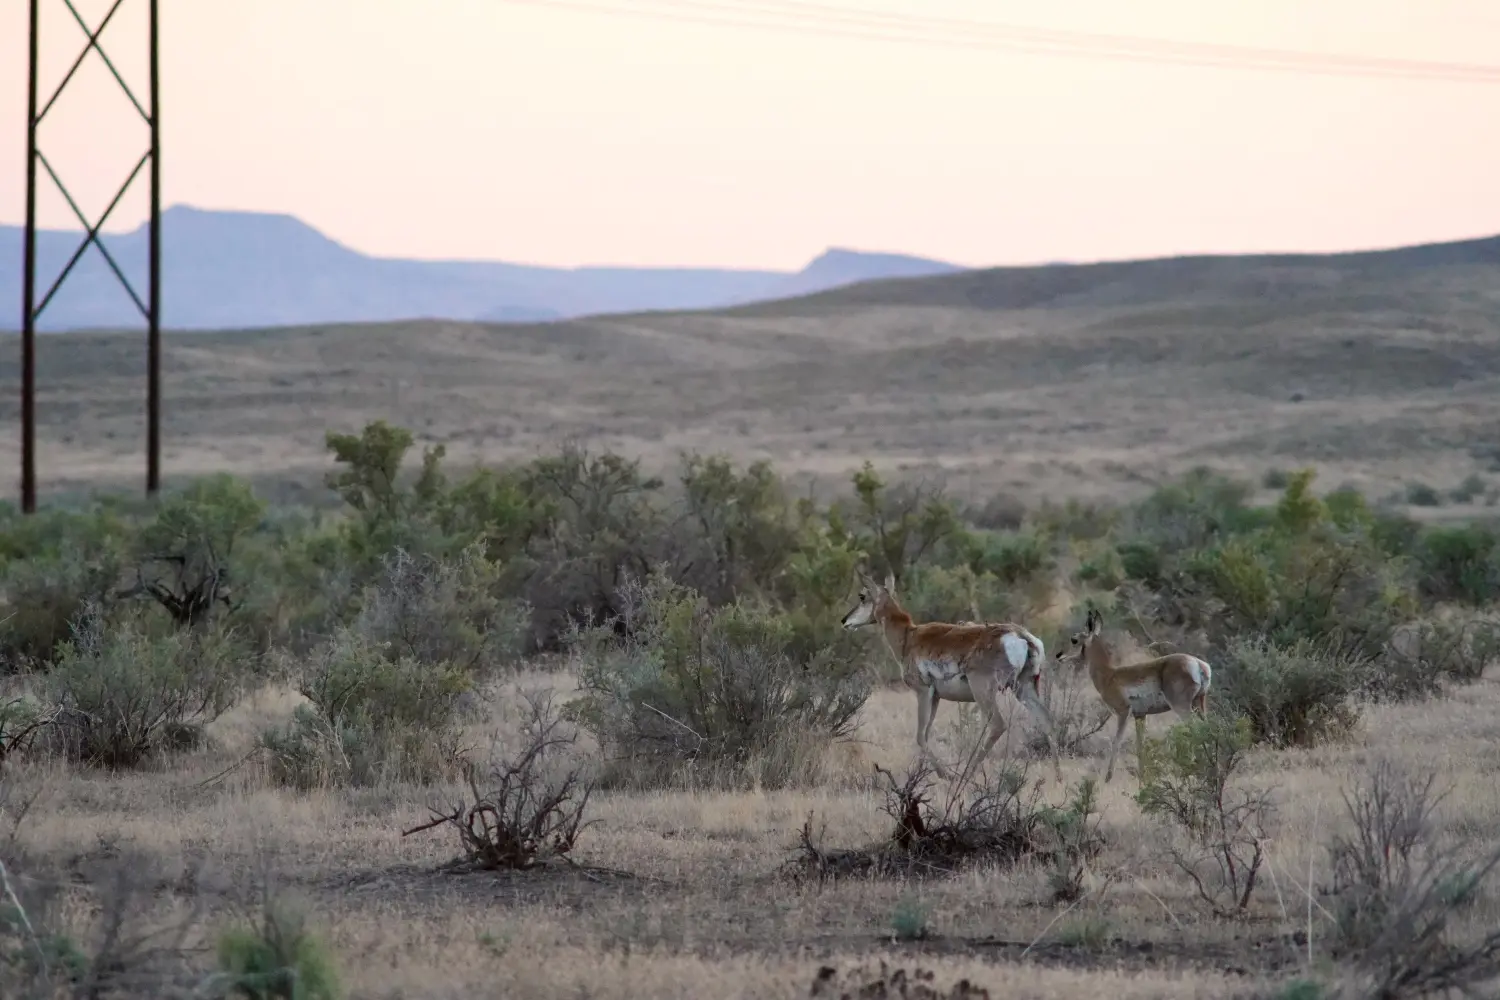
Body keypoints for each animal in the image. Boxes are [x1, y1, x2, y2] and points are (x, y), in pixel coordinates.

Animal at [840, 569, 1062, 783]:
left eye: (862, 596)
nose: (844, 621)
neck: (908, 637)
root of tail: (1022, 637)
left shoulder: (923, 691)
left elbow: (920, 736)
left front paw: (944, 775)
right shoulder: (936, 697)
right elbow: (926, 734)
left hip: (984, 691)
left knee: (997, 725)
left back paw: (965, 775)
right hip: (1024, 687)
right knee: (1047, 720)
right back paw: (1057, 775)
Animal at [1056, 608, 1212, 784]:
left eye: (1074, 639)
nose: (1058, 655)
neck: (1110, 675)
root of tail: (1198, 664)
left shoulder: (1123, 712)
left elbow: (1116, 741)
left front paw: (1108, 778)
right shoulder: (1140, 716)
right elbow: (1140, 745)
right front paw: (1142, 778)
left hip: (1182, 708)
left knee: (1196, 731)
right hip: (1199, 705)